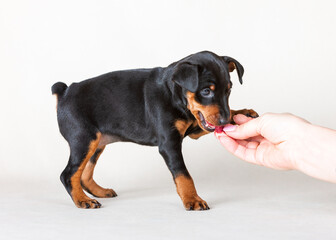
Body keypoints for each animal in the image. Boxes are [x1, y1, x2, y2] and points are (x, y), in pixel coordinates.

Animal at [51, 50, 258, 210]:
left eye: (228, 91)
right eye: (206, 91)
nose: (223, 121)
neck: (175, 94)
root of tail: (65, 92)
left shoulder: (194, 129)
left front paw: (243, 113)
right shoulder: (169, 143)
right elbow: (183, 174)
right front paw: (193, 200)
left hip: (97, 142)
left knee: (84, 174)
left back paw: (99, 192)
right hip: (84, 139)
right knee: (68, 174)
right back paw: (82, 200)